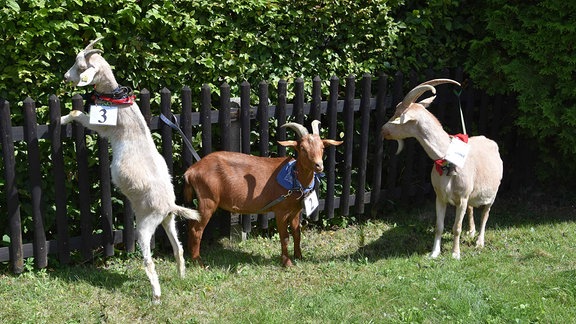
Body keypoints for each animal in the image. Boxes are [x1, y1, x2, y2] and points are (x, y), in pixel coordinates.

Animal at [59, 38, 200, 304]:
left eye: (80, 65)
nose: (64, 77)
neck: (117, 100)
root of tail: (169, 204)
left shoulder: (100, 126)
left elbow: (78, 114)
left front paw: (62, 119)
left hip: (145, 225)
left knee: (149, 261)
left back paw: (156, 295)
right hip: (168, 220)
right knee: (178, 248)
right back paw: (181, 276)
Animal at [183, 120, 342, 268]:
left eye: (322, 147)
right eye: (302, 148)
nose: (319, 165)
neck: (293, 178)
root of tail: (191, 171)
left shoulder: (295, 210)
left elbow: (297, 234)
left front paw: (299, 257)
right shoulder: (281, 210)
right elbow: (285, 237)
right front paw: (287, 262)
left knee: (191, 224)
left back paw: (191, 256)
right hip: (208, 199)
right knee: (196, 229)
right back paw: (199, 262)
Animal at [382, 79, 504, 260]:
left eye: (398, 115)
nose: (383, 130)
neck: (447, 159)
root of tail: (490, 142)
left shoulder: (462, 198)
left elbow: (456, 228)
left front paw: (455, 254)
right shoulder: (439, 197)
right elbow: (439, 226)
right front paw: (434, 253)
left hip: (492, 193)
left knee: (485, 214)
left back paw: (479, 241)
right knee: (472, 208)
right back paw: (471, 231)